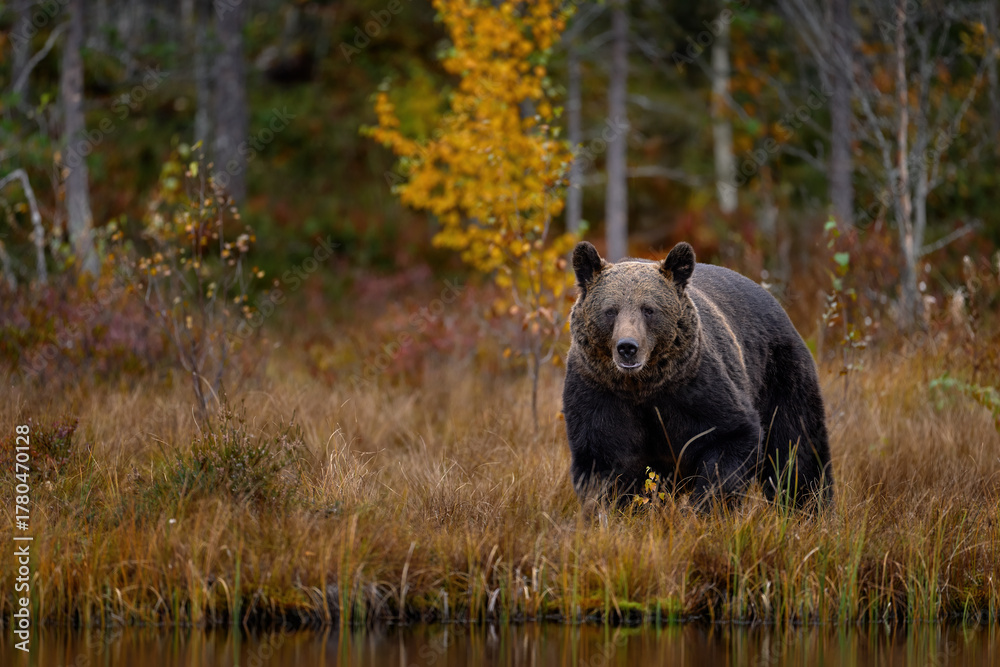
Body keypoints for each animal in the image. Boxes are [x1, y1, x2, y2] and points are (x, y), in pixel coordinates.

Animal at [562, 240, 832, 510]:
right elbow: (603, 461)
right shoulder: (599, 393)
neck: (643, 387)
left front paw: (703, 507)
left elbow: (731, 436)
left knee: (797, 445)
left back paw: (810, 505)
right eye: (610, 310)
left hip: (780, 372)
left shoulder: (696, 388)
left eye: (649, 310)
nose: (627, 347)